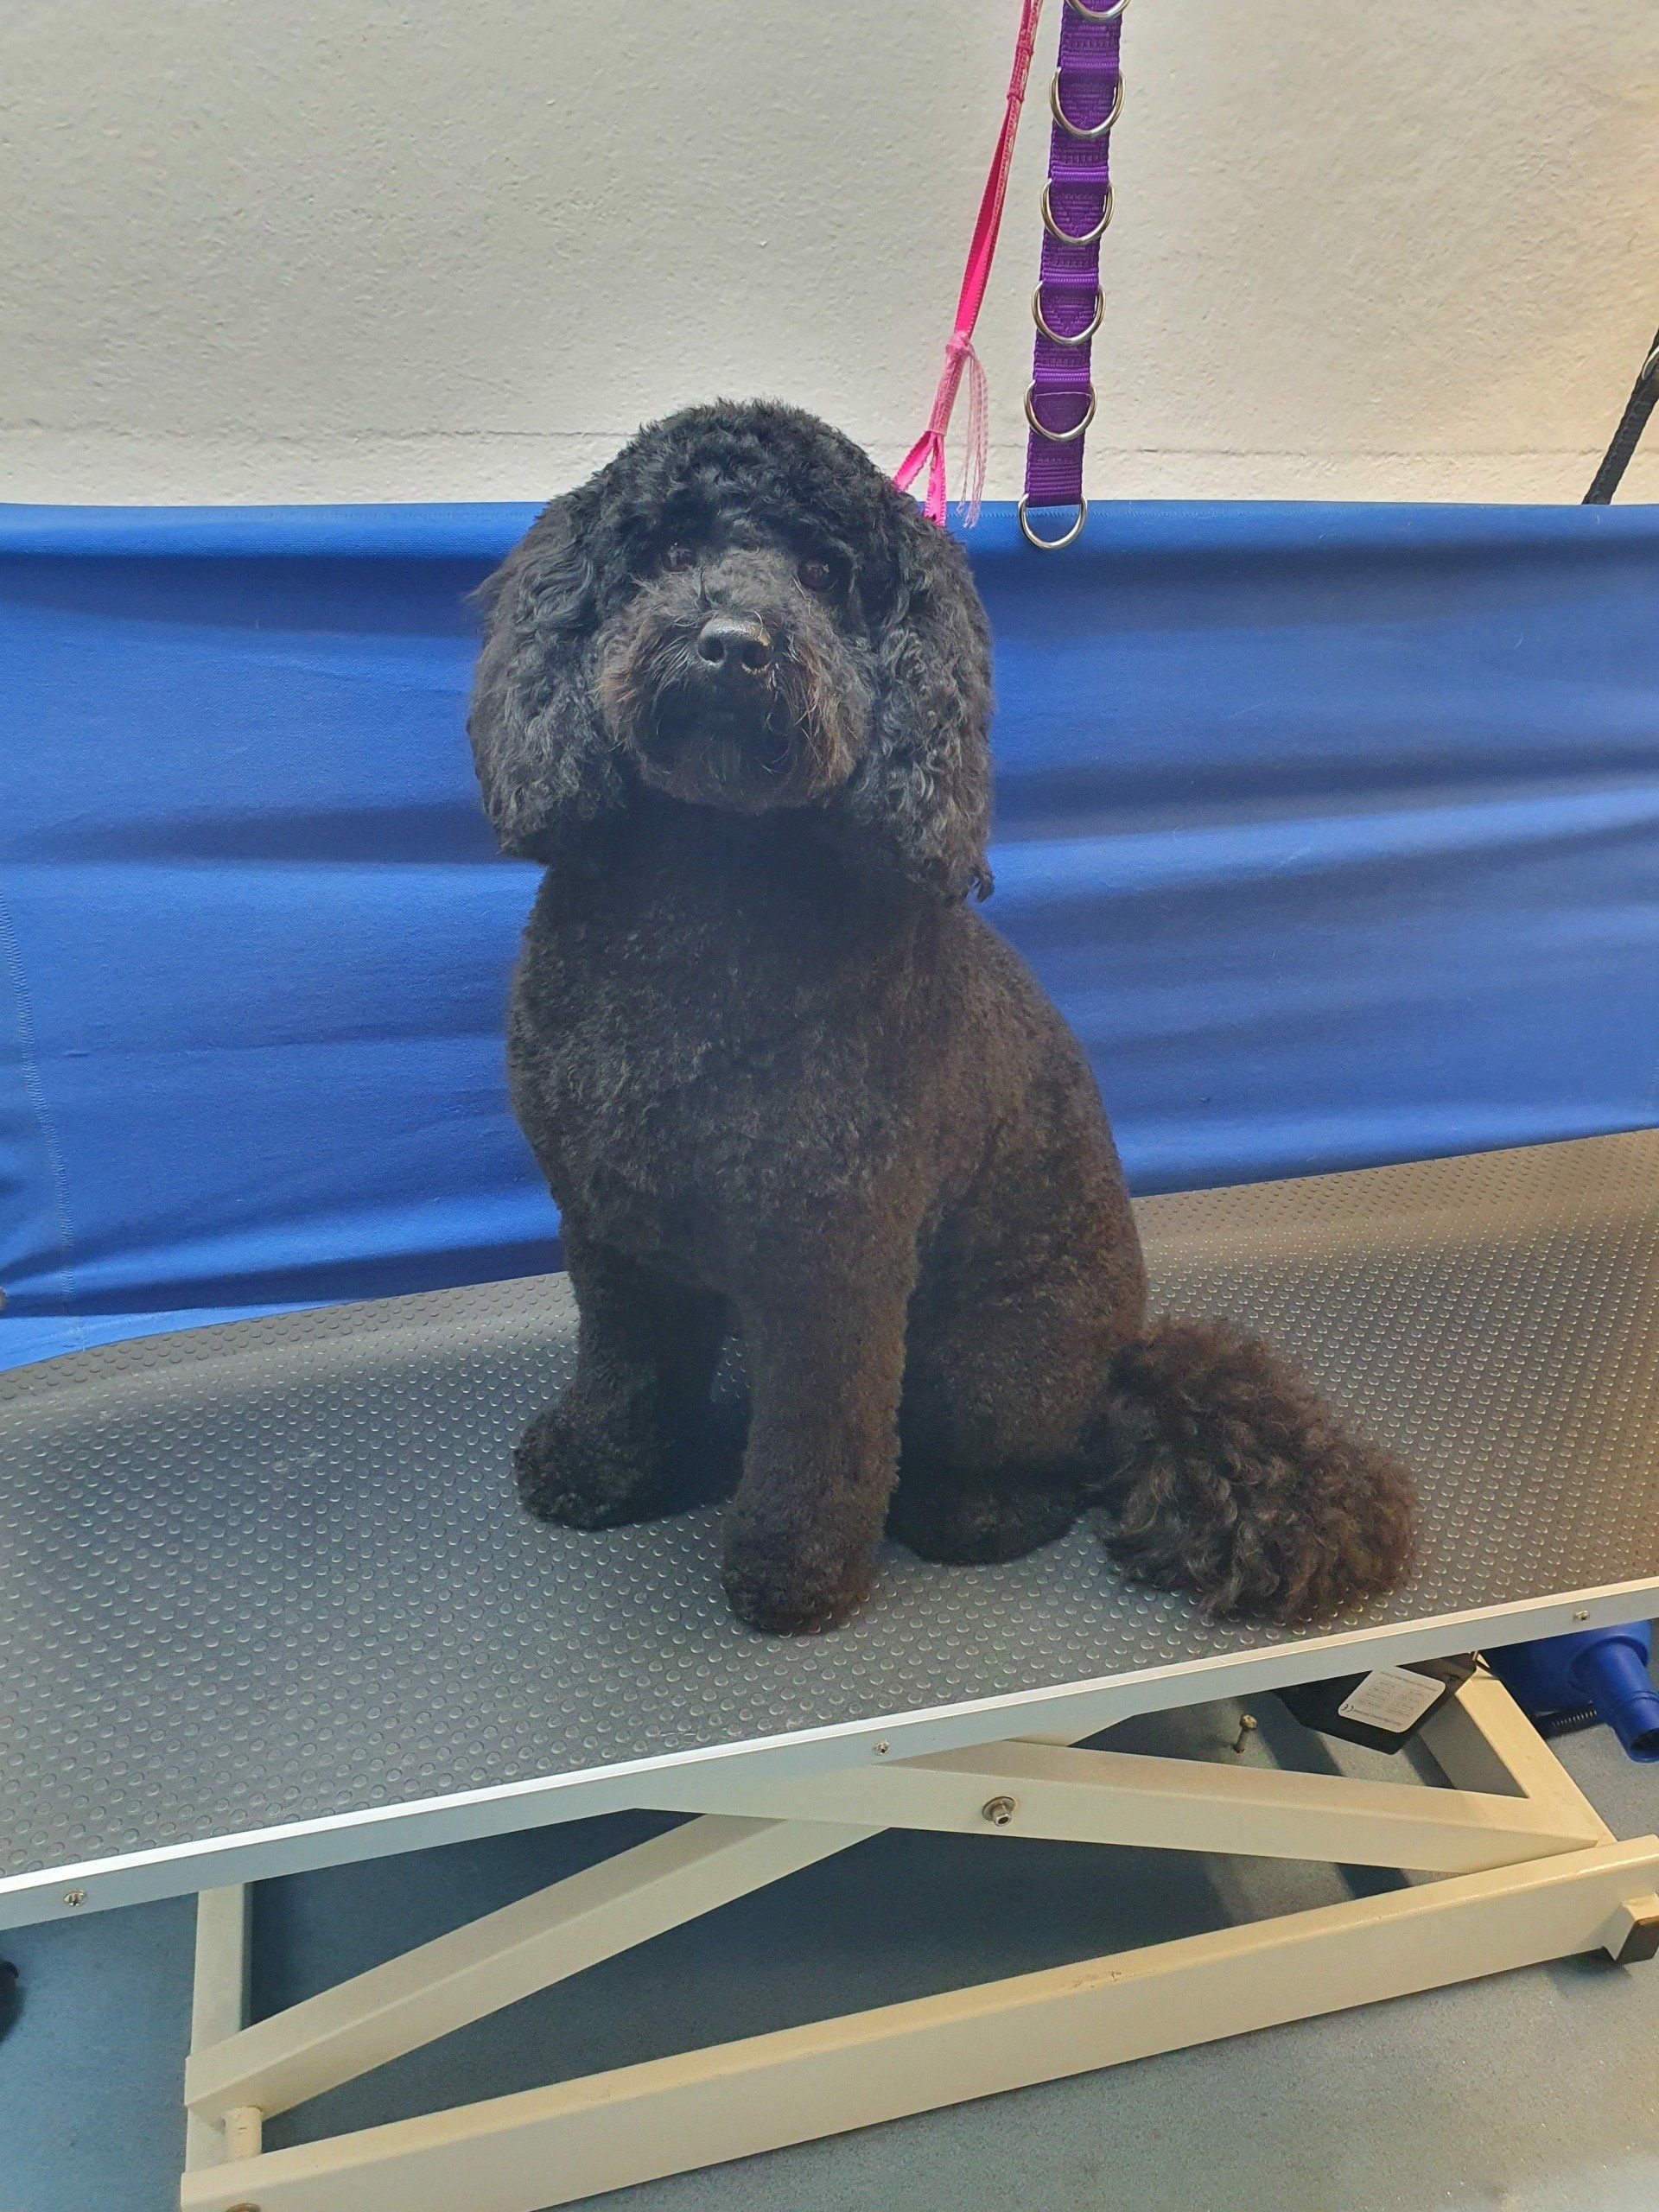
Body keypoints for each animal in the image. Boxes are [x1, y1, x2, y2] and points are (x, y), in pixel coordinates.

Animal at [468, 399, 1416, 1635]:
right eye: (668, 550)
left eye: (825, 573)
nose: (733, 643)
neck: (708, 884)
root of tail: (1126, 1362)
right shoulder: (611, 1227)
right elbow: (625, 1369)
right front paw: (597, 1469)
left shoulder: (835, 1254)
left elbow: (821, 1435)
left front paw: (794, 1574)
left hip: (986, 1365)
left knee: (1049, 1466)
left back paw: (970, 1509)